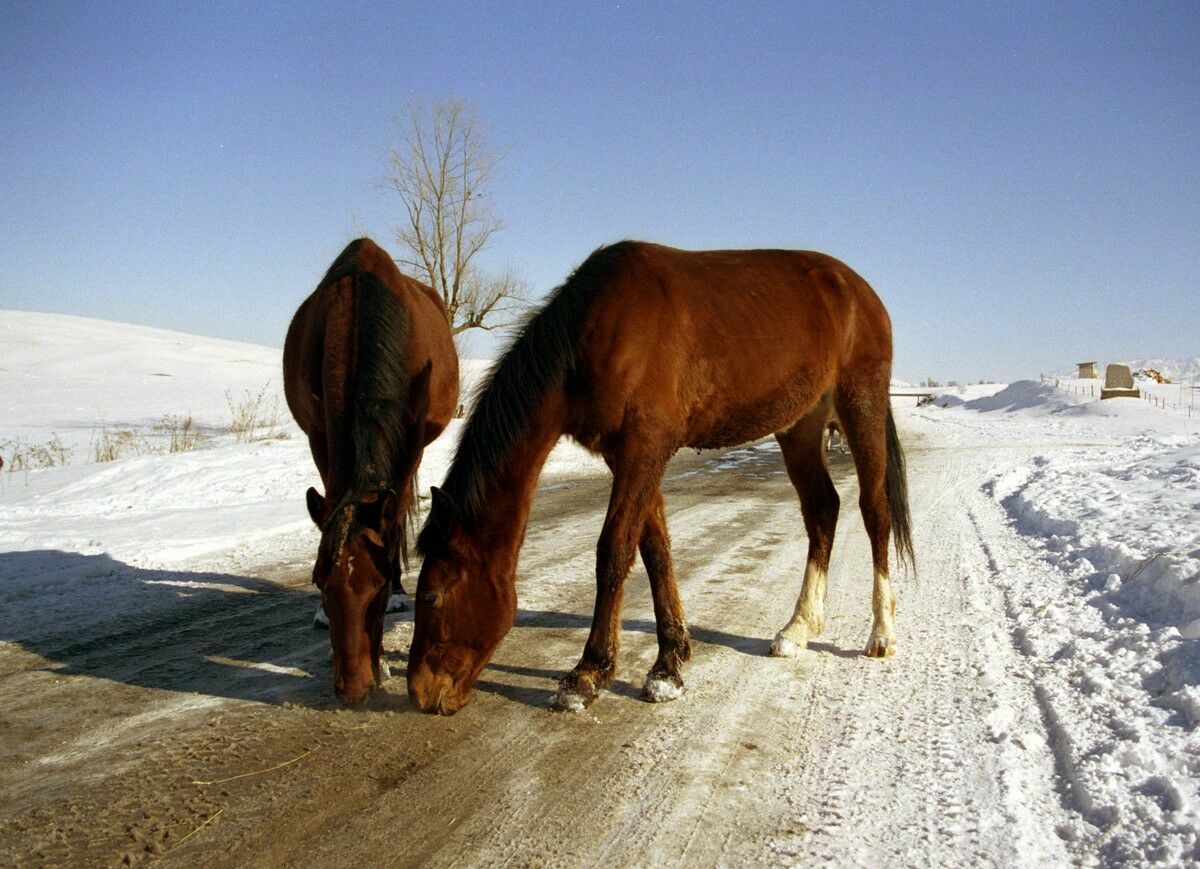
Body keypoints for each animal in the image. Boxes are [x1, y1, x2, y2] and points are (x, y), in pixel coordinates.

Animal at [285, 237, 458, 705]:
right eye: (320, 582)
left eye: (376, 591)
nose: (354, 689)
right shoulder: (320, 435)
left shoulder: (412, 439)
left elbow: (393, 516)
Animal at [408, 241, 912, 715]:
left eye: (430, 596)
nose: (420, 692)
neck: (599, 330)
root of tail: (859, 293)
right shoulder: (626, 456)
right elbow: (655, 550)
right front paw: (669, 664)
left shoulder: (645, 449)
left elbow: (614, 551)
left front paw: (587, 674)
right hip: (801, 426)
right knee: (822, 509)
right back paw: (797, 629)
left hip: (860, 406)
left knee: (874, 511)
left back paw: (881, 633)